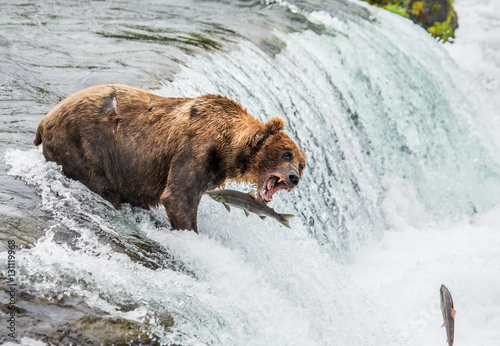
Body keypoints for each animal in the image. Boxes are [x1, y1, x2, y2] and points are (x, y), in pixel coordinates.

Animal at [33, 83, 306, 232]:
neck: (227, 148)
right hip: (84, 146)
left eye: (302, 165)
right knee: (103, 186)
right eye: (285, 153)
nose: (294, 177)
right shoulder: (193, 149)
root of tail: (44, 120)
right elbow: (179, 198)